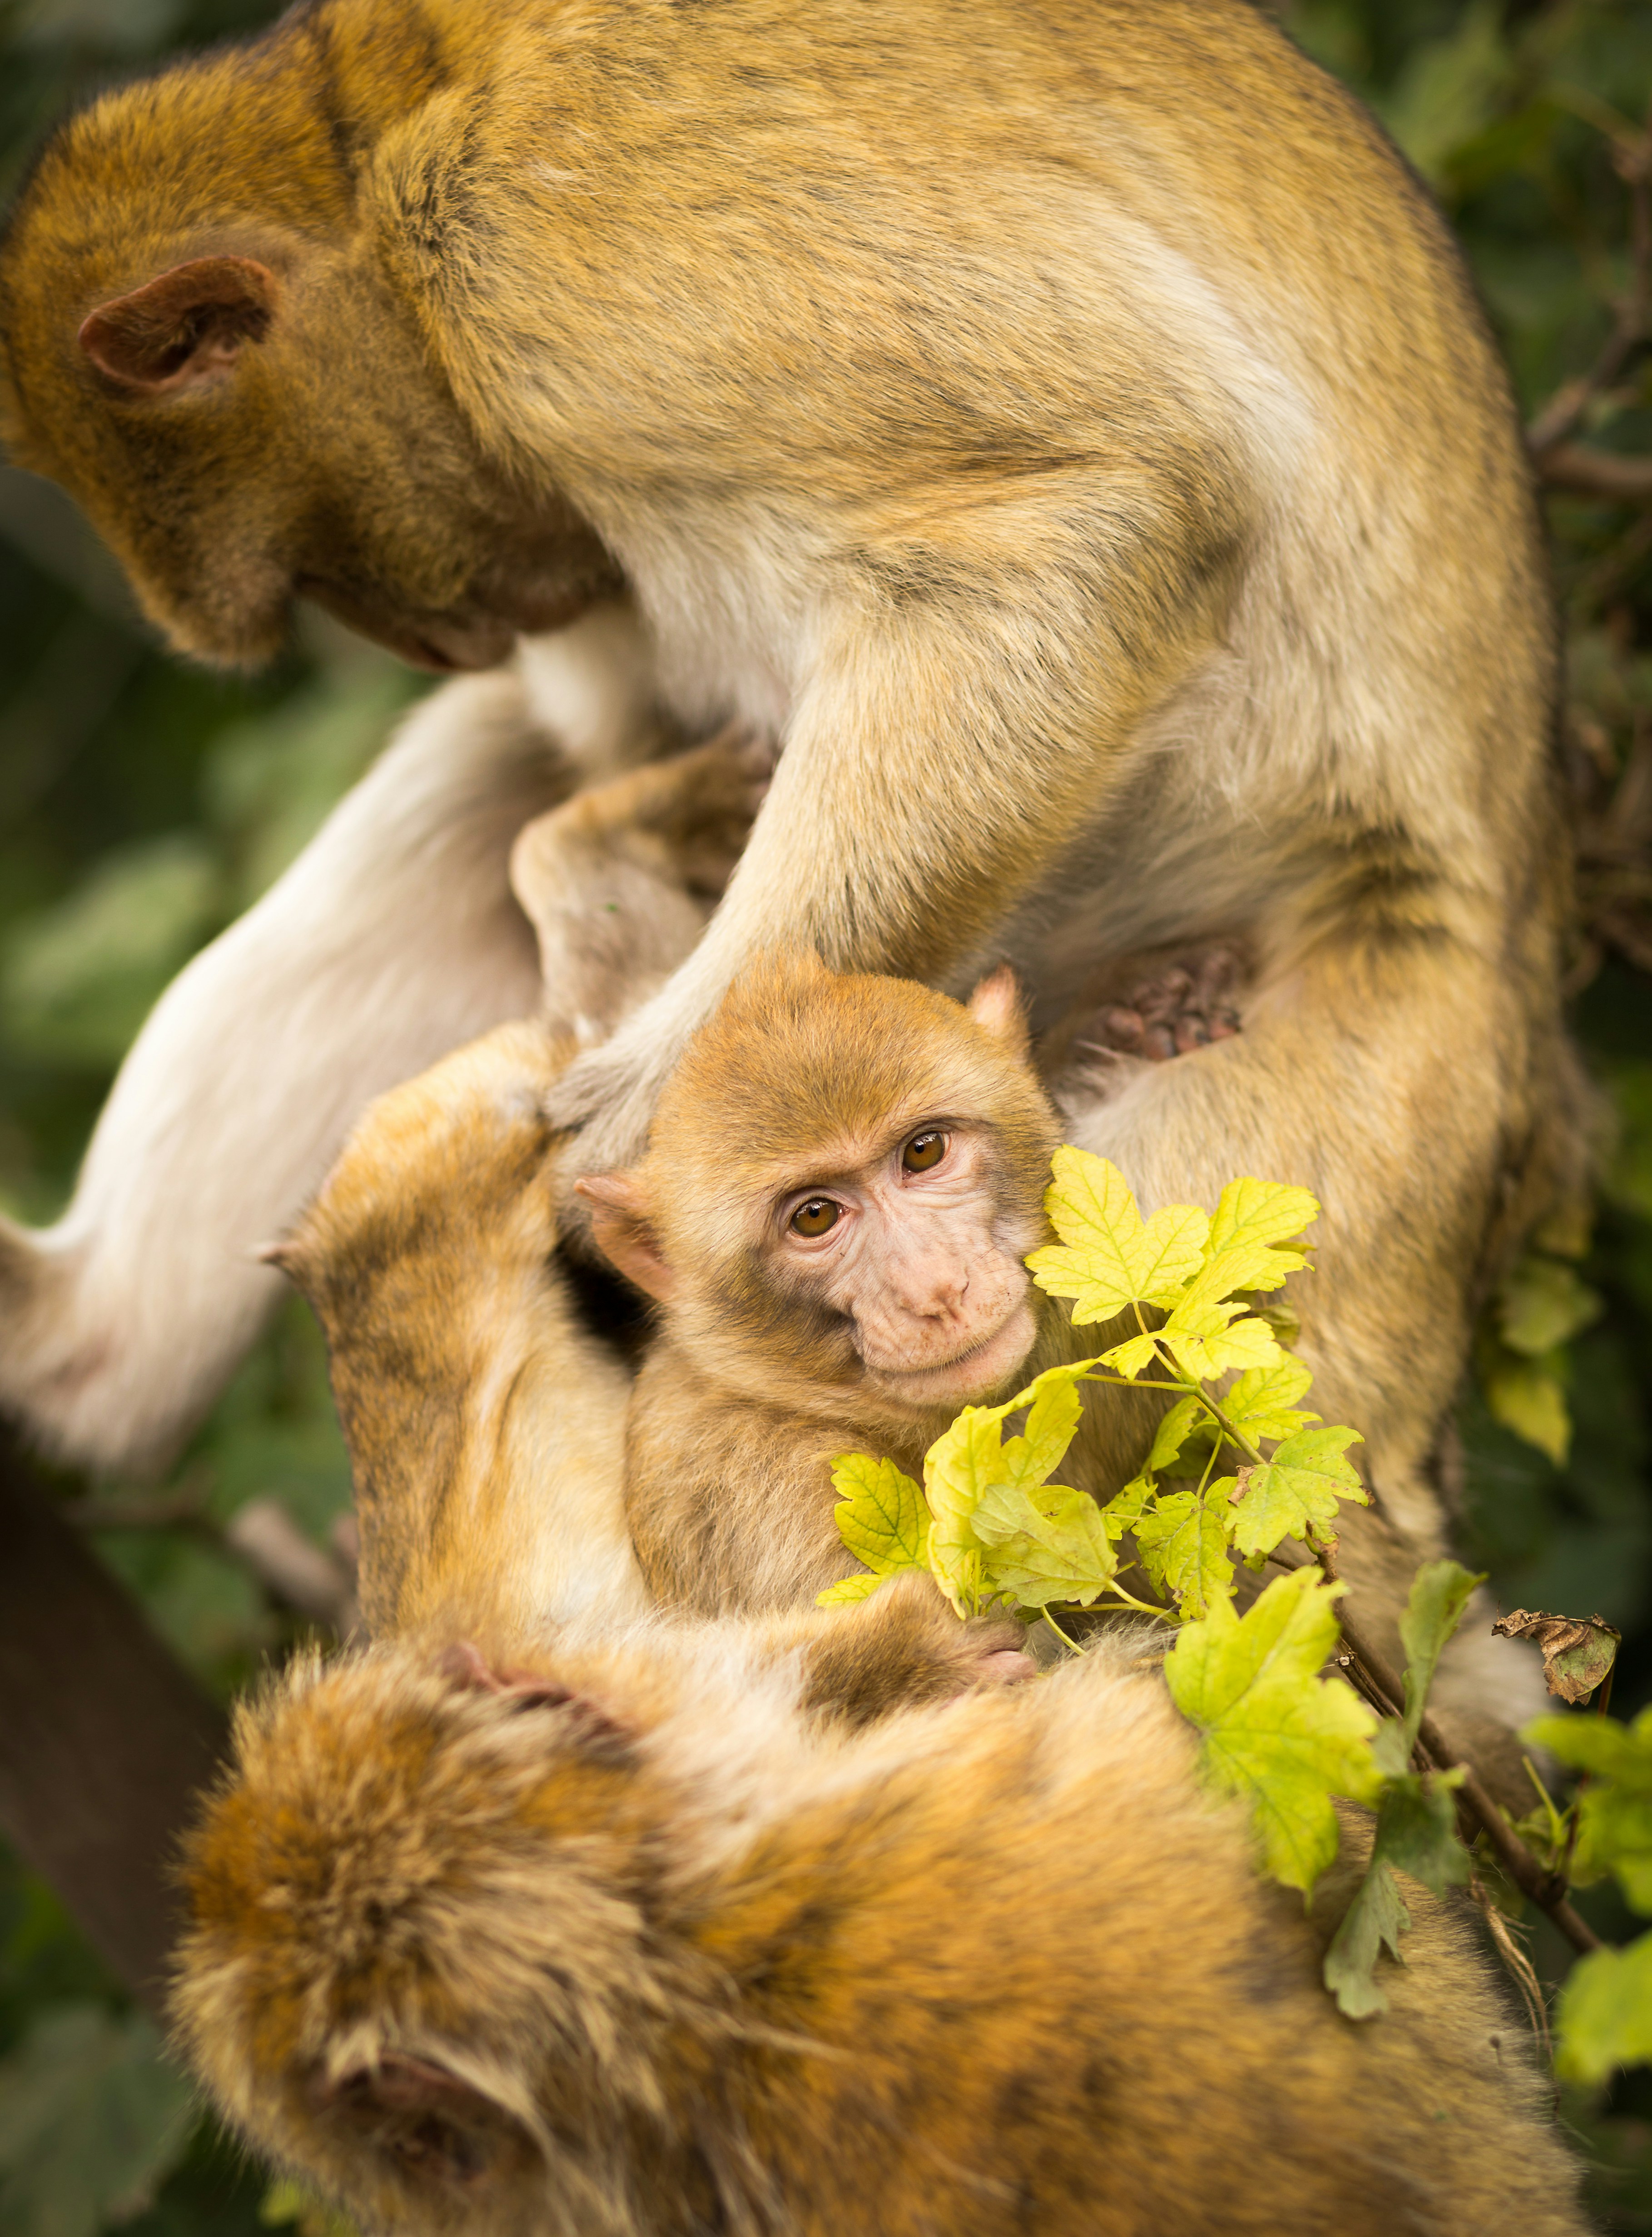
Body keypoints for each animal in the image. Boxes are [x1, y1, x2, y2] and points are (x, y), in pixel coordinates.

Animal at [0, 0, 1588, 1615]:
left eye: (308, 571)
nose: (449, 639)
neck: (365, 152)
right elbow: (607, 731)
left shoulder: (564, 256)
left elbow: (1099, 518)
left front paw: (624, 1139)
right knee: (495, 785)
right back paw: (85, 1349)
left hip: (1350, 1111)